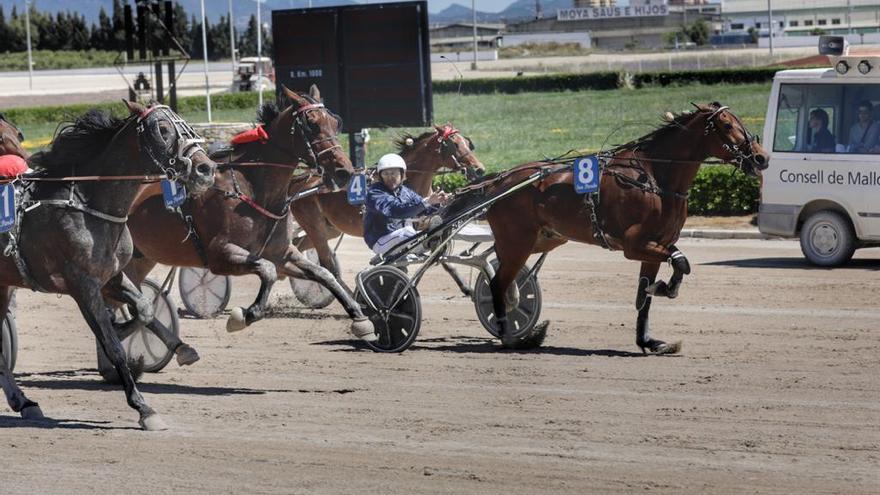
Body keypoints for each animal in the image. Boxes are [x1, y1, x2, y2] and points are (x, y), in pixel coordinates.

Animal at [0, 101, 217, 430]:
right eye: (162, 129)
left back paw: (24, 402)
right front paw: (143, 407)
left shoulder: (111, 277)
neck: (89, 205)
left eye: (185, 124)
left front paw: (165, 344)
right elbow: (112, 343)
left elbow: (145, 310)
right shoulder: (82, 284)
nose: (206, 169)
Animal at [121, 83, 372, 342]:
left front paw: (359, 317)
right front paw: (243, 316)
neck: (253, 190)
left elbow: (324, 273)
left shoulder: (281, 253)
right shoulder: (220, 254)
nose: (344, 171)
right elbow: (268, 272)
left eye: (335, 122)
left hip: (142, 256)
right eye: (311, 123)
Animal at [290, 124, 488, 294]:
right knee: (326, 264)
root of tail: (299, 183)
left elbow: (439, 252)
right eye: (454, 145)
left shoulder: (426, 225)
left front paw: (466, 287)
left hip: (329, 228)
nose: (479, 169)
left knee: (298, 246)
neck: (406, 182)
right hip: (315, 225)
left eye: (467, 143)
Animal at [454, 101, 768, 352]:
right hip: (517, 242)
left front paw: (648, 339)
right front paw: (667, 288)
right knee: (498, 284)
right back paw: (509, 337)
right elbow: (682, 263)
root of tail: (499, 182)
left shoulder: (656, 245)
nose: (761, 157)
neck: (655, 177)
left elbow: (646, 294)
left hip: (542, 239)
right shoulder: (634, 245)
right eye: (727, 125)